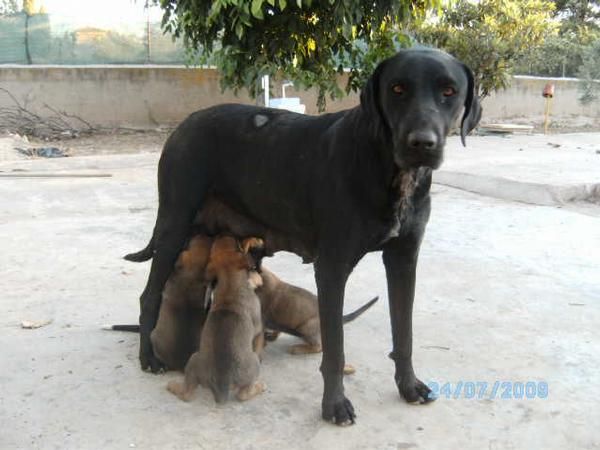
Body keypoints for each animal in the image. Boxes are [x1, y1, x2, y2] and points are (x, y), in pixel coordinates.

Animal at [166, 237, 264, 402]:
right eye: (236, 243)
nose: (222, 233)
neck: (230, 284)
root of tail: (221, 383)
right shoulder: (258, 329)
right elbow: (258, 343)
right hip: (253, 365)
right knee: (243, 395)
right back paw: (260, 386)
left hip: (193, 360)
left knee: (187, 393)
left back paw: (173, 386)